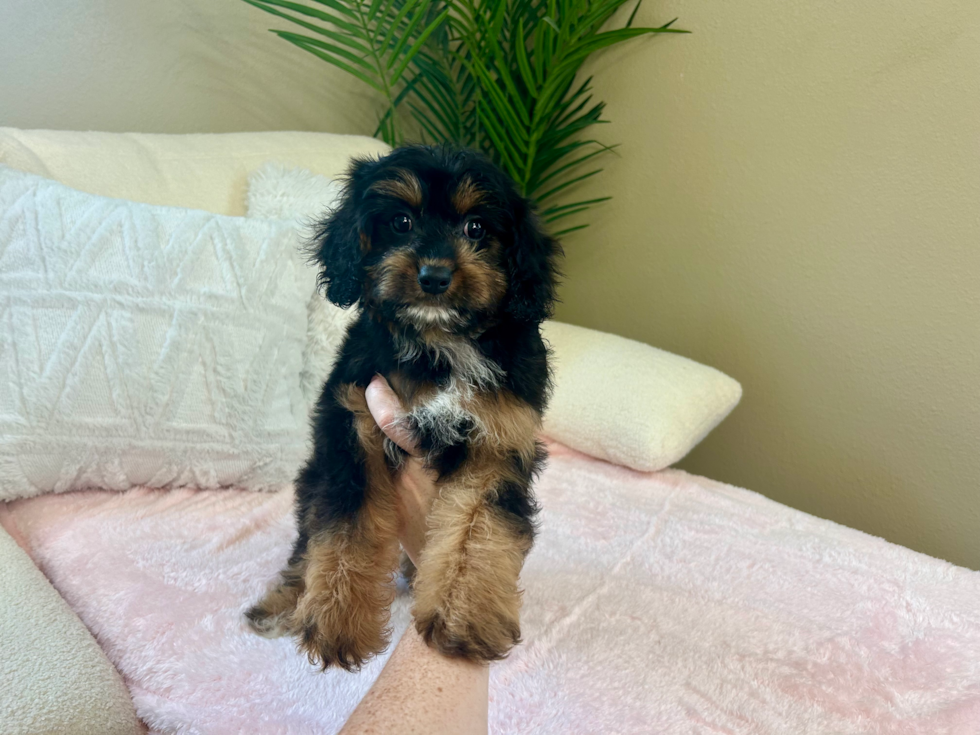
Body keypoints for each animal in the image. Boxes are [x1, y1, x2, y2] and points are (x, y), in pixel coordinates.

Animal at [247, 144, 560, 672]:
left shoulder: (497, 441)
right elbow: (346, 527)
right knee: (307, 541)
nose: (434, 276)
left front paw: (461, 619)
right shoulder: (353, 424)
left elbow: (476, 528)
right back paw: (282, 603)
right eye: (401, 221)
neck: (439, 344)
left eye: (476, 227)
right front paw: (338, 622)